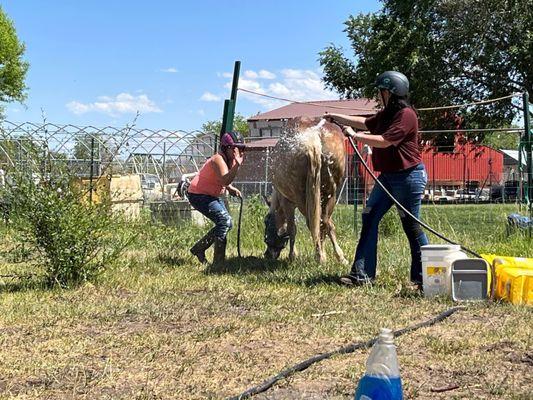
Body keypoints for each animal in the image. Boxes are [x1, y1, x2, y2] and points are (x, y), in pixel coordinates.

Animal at [262, 117, 348, 264]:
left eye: (266, 222)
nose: (267, 254)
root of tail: (313, 137)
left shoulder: (287, 201)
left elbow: (292, 228)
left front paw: (292, 256)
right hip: (329, 194)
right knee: (324, 223)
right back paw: (333, 256)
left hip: (303, 197)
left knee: (313, 223)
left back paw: (320, 256)